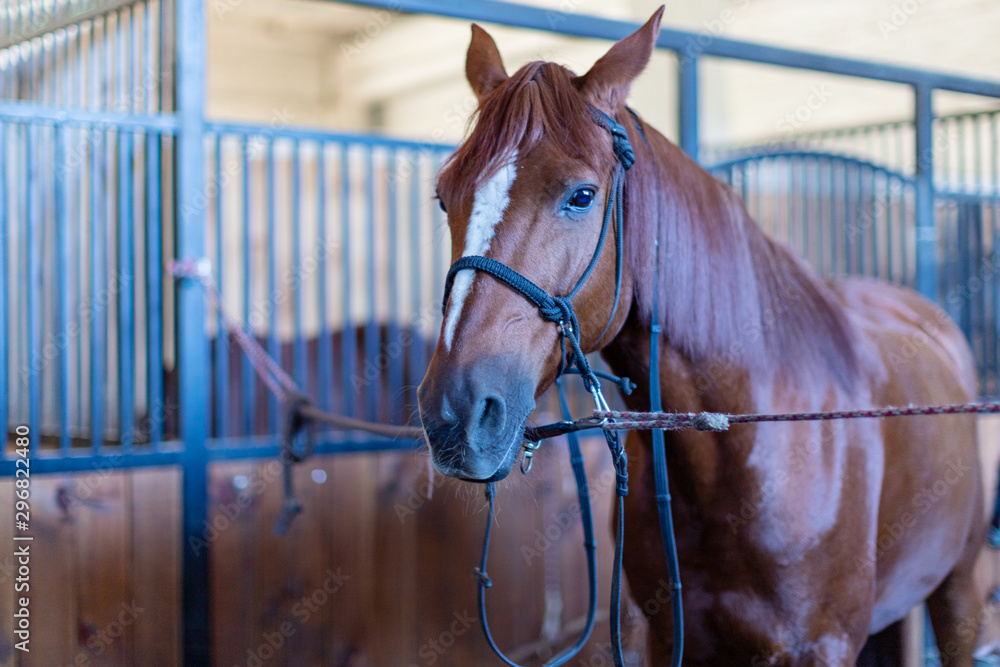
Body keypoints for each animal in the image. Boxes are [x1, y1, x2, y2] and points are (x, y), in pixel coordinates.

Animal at [416, 8, 985, 665]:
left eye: (581, 195)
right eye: (444, 197)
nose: (453, 412)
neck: (736, 446)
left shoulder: (822, 644)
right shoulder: (670, 635)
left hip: (960, 589)